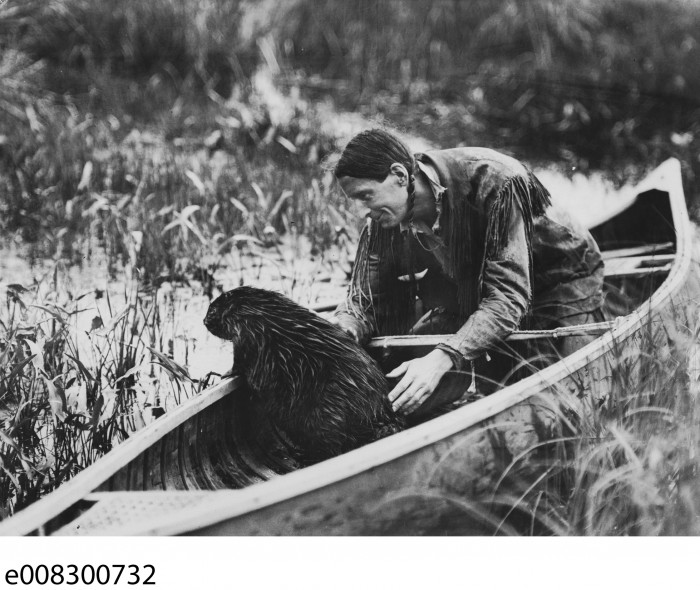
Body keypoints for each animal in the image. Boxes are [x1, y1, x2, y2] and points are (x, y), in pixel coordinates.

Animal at [202, 288, 402, 468]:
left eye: (212, 309)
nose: (204, 321)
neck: (252, 307)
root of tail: (382, 415)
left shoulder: (246, 333)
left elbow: (240, 360)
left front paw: (224, 373)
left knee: (335, 448)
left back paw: (305, 457)